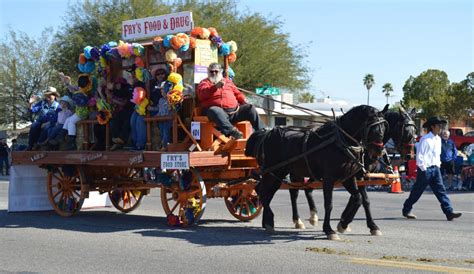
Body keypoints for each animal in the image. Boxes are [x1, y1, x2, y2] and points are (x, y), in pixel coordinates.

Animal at [246, 105, 386, 240]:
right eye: (373, 128)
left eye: (384, 127)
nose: (378, 151)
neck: (340, 142)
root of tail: (266, 133)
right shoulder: (329, 178)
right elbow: (329, 204)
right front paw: (329, 230)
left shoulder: (349, 177)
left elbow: (359, 199)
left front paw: (344, 223)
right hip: (273, 172)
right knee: (264, 193)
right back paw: (270, 220)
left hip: (281, 173)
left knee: (266, 192)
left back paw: (268, 222)